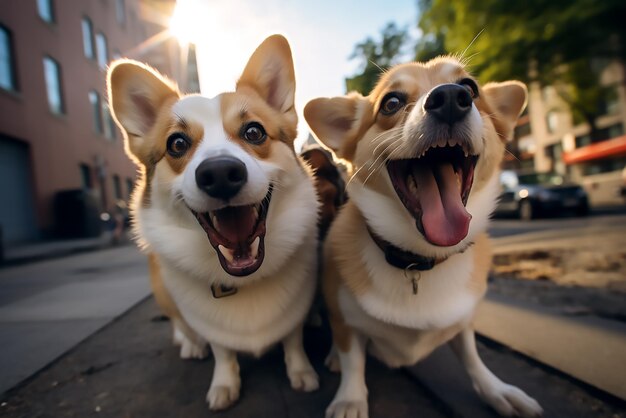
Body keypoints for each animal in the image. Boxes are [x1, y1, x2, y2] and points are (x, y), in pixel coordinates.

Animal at [106, 35, 316, 408]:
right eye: (177, 143)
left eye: (254, 132)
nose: (220, 174)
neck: (246, 279)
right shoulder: (207, 324)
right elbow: (222, 351)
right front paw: (224, 384)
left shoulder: (298, 310)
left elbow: (293, 340)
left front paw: (301, 371)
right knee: (179, 323)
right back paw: (190, 344)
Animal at [304, 56, 540, 418]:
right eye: (391, 103)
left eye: (471, 87)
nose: (451, 98)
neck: (418, 259)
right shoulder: (345, 320)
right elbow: (353, 359)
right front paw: (350, 399)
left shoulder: (463, 321)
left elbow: (472, 357)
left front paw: (496, 390)